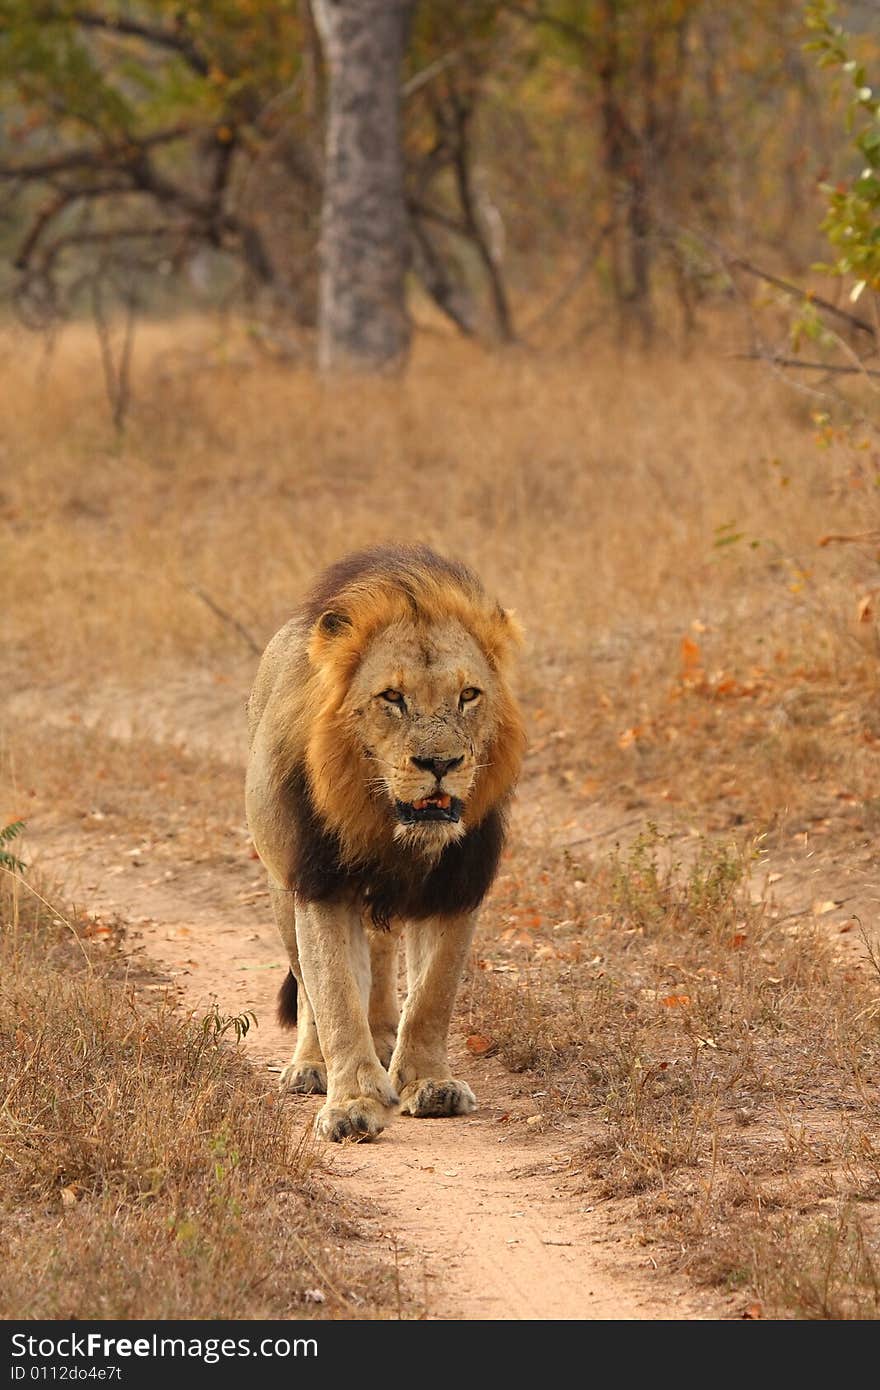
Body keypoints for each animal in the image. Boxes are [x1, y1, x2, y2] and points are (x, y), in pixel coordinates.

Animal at [243, 542, 525, 1139]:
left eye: (469, 695)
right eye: (392, 697)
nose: (441, 763)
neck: (388, 828)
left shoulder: (455, 886)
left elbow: (433, 994)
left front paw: (429, 1082)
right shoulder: (321, 884)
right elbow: (333, 994)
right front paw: (352, 1101)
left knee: (380, 954)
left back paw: (384, 1036)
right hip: (280, 886)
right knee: (308, 985)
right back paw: (311, 1066)